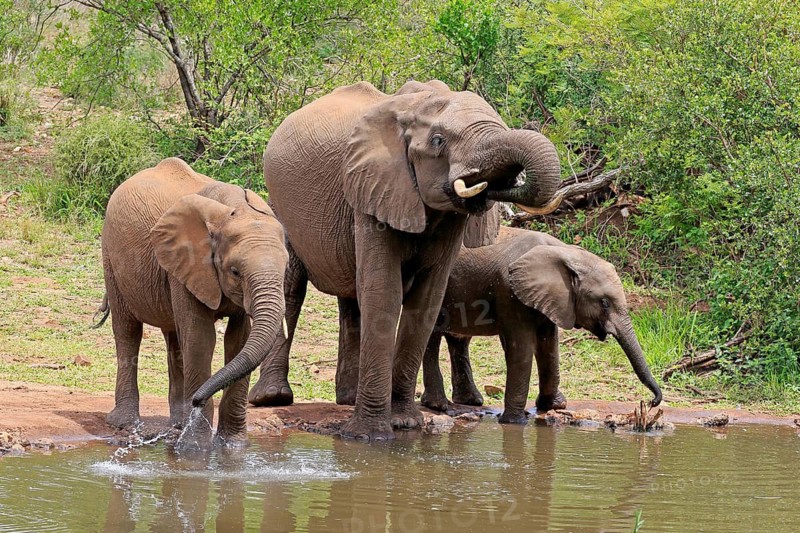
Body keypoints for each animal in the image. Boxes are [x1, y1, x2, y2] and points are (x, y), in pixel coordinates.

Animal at [97, 157, 288, 445]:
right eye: (235, 272)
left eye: (286, 268)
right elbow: (200, 337)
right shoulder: (187, 263)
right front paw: (195, 445)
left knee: (174, 336)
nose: (198, 399)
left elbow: (239, 340)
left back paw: (179, 421)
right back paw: (125, 422)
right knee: (128, 330)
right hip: (111, 255)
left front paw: (233, 445)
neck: (236, 210)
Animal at [247, 80, 562, 440]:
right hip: (280, 206)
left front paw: (404, 424)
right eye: (438, 141)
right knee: (292, 288)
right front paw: (369, 436)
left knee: (352, 299)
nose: (498, 184)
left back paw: (348, 398)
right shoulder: (373, 190)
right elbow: (384, 290)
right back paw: (273, 398)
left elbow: (426, 299)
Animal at [419, 226, 662, 423]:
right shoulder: (510, 292)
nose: (652, 402)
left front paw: (553, 405)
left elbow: (549, 346)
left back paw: (471, 401)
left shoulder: (550, 299)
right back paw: (439, 406)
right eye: (604, 302)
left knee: (457, 339)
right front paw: (515, 421)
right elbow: (522, 348)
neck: (566, 252)